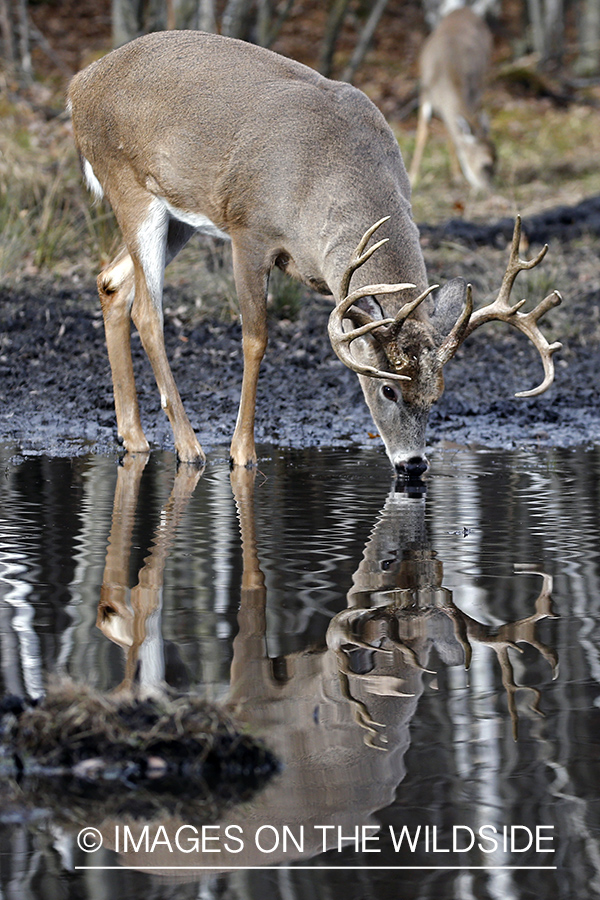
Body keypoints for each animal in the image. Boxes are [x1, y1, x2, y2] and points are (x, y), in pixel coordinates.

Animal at [68, 31, 560, 474]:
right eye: (388, 390)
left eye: (436, 394)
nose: (414, 465)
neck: (325, 180)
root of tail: (79, 86)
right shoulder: (249, 230)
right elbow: (255, 339)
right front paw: (243, 453)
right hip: (130, 185)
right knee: (148, 313)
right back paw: (189, 448)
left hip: (180, 218)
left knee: (112, 282)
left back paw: (133, 437)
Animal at [410, 7, 494, 191]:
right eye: (486, 164)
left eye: (497, 158)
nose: (488, 189)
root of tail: (466, 9)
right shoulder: (425, 93)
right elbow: (422, 133)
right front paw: (413, 177)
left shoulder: (470, 95)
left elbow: (451, 134)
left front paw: (456, 176)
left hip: (482, 80)